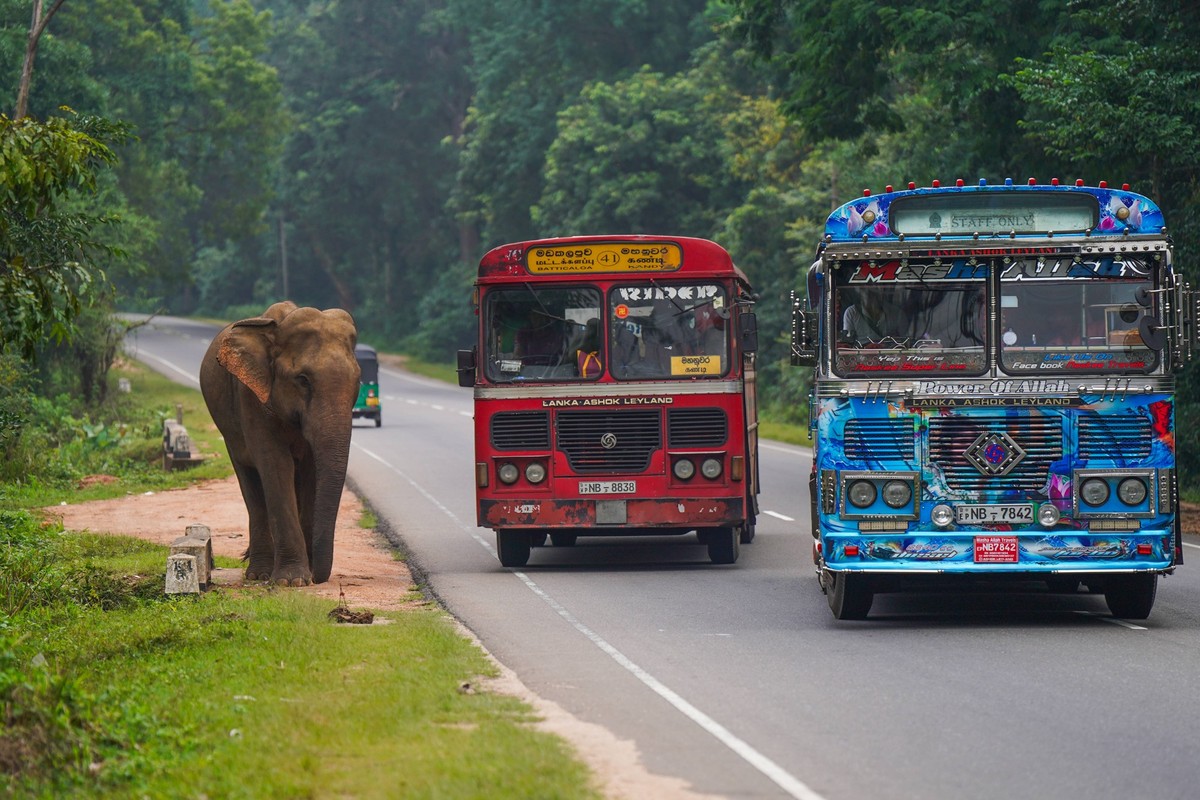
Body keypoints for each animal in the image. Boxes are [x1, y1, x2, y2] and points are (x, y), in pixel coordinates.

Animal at [200, 301, 360, 586]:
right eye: (303, 379)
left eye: (358, 381)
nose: (319, 578)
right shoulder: (251, 396)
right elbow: (275, 464)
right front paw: (292, 580)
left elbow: (310, 470)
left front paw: (303, 575)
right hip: (229, 433)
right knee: (251, 484)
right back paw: (259, 574)